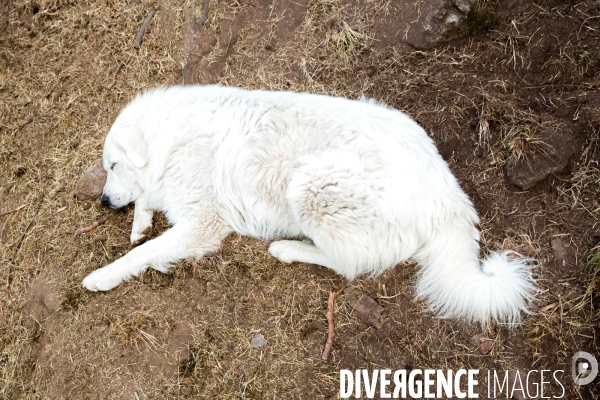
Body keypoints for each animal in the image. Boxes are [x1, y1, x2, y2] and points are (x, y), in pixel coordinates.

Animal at [82, 85, 536, 324]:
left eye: (113, 165)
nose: (103, 201)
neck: (171, 136)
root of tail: (447, 193)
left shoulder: (201, 224)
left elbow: (142, 254)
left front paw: (102, 276)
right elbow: (146, 210)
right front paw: (140, 223)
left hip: (311, 183)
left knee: (349, 263)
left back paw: (287, 248)